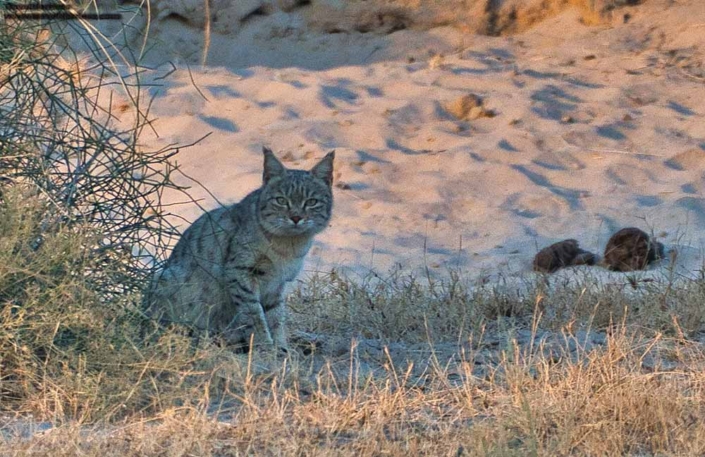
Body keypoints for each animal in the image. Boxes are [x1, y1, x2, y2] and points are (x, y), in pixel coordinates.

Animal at [147, 146, 334, 350]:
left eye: (311, 202)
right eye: (281, 200)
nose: (296, 217)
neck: (289, 244)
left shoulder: (276, 284)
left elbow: (276, 316)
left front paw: (280, 347)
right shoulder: (240, 272)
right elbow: (254, 314)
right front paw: (265, 346)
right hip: (165, 279)